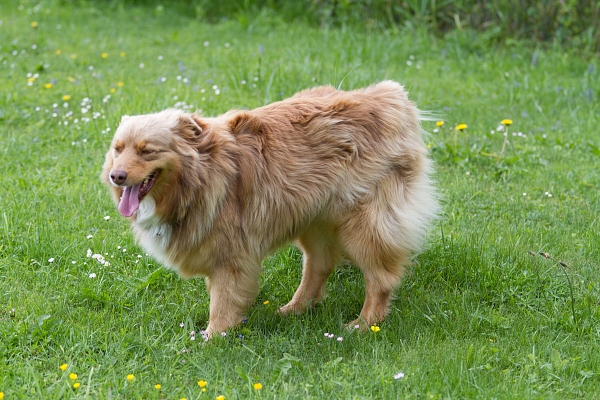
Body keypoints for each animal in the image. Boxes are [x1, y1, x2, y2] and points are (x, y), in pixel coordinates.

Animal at [101, 81, 439, 338]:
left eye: (147, 151)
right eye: (118, 149)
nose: (116, 176)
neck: (199, 176)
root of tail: (388, 96)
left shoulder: (231, 257)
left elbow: (222, 302)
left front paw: (212, 338)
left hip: (365, 226)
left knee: (380, 278)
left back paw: (366, 323)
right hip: (314, 218)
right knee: (319, 266)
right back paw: (295, 309)